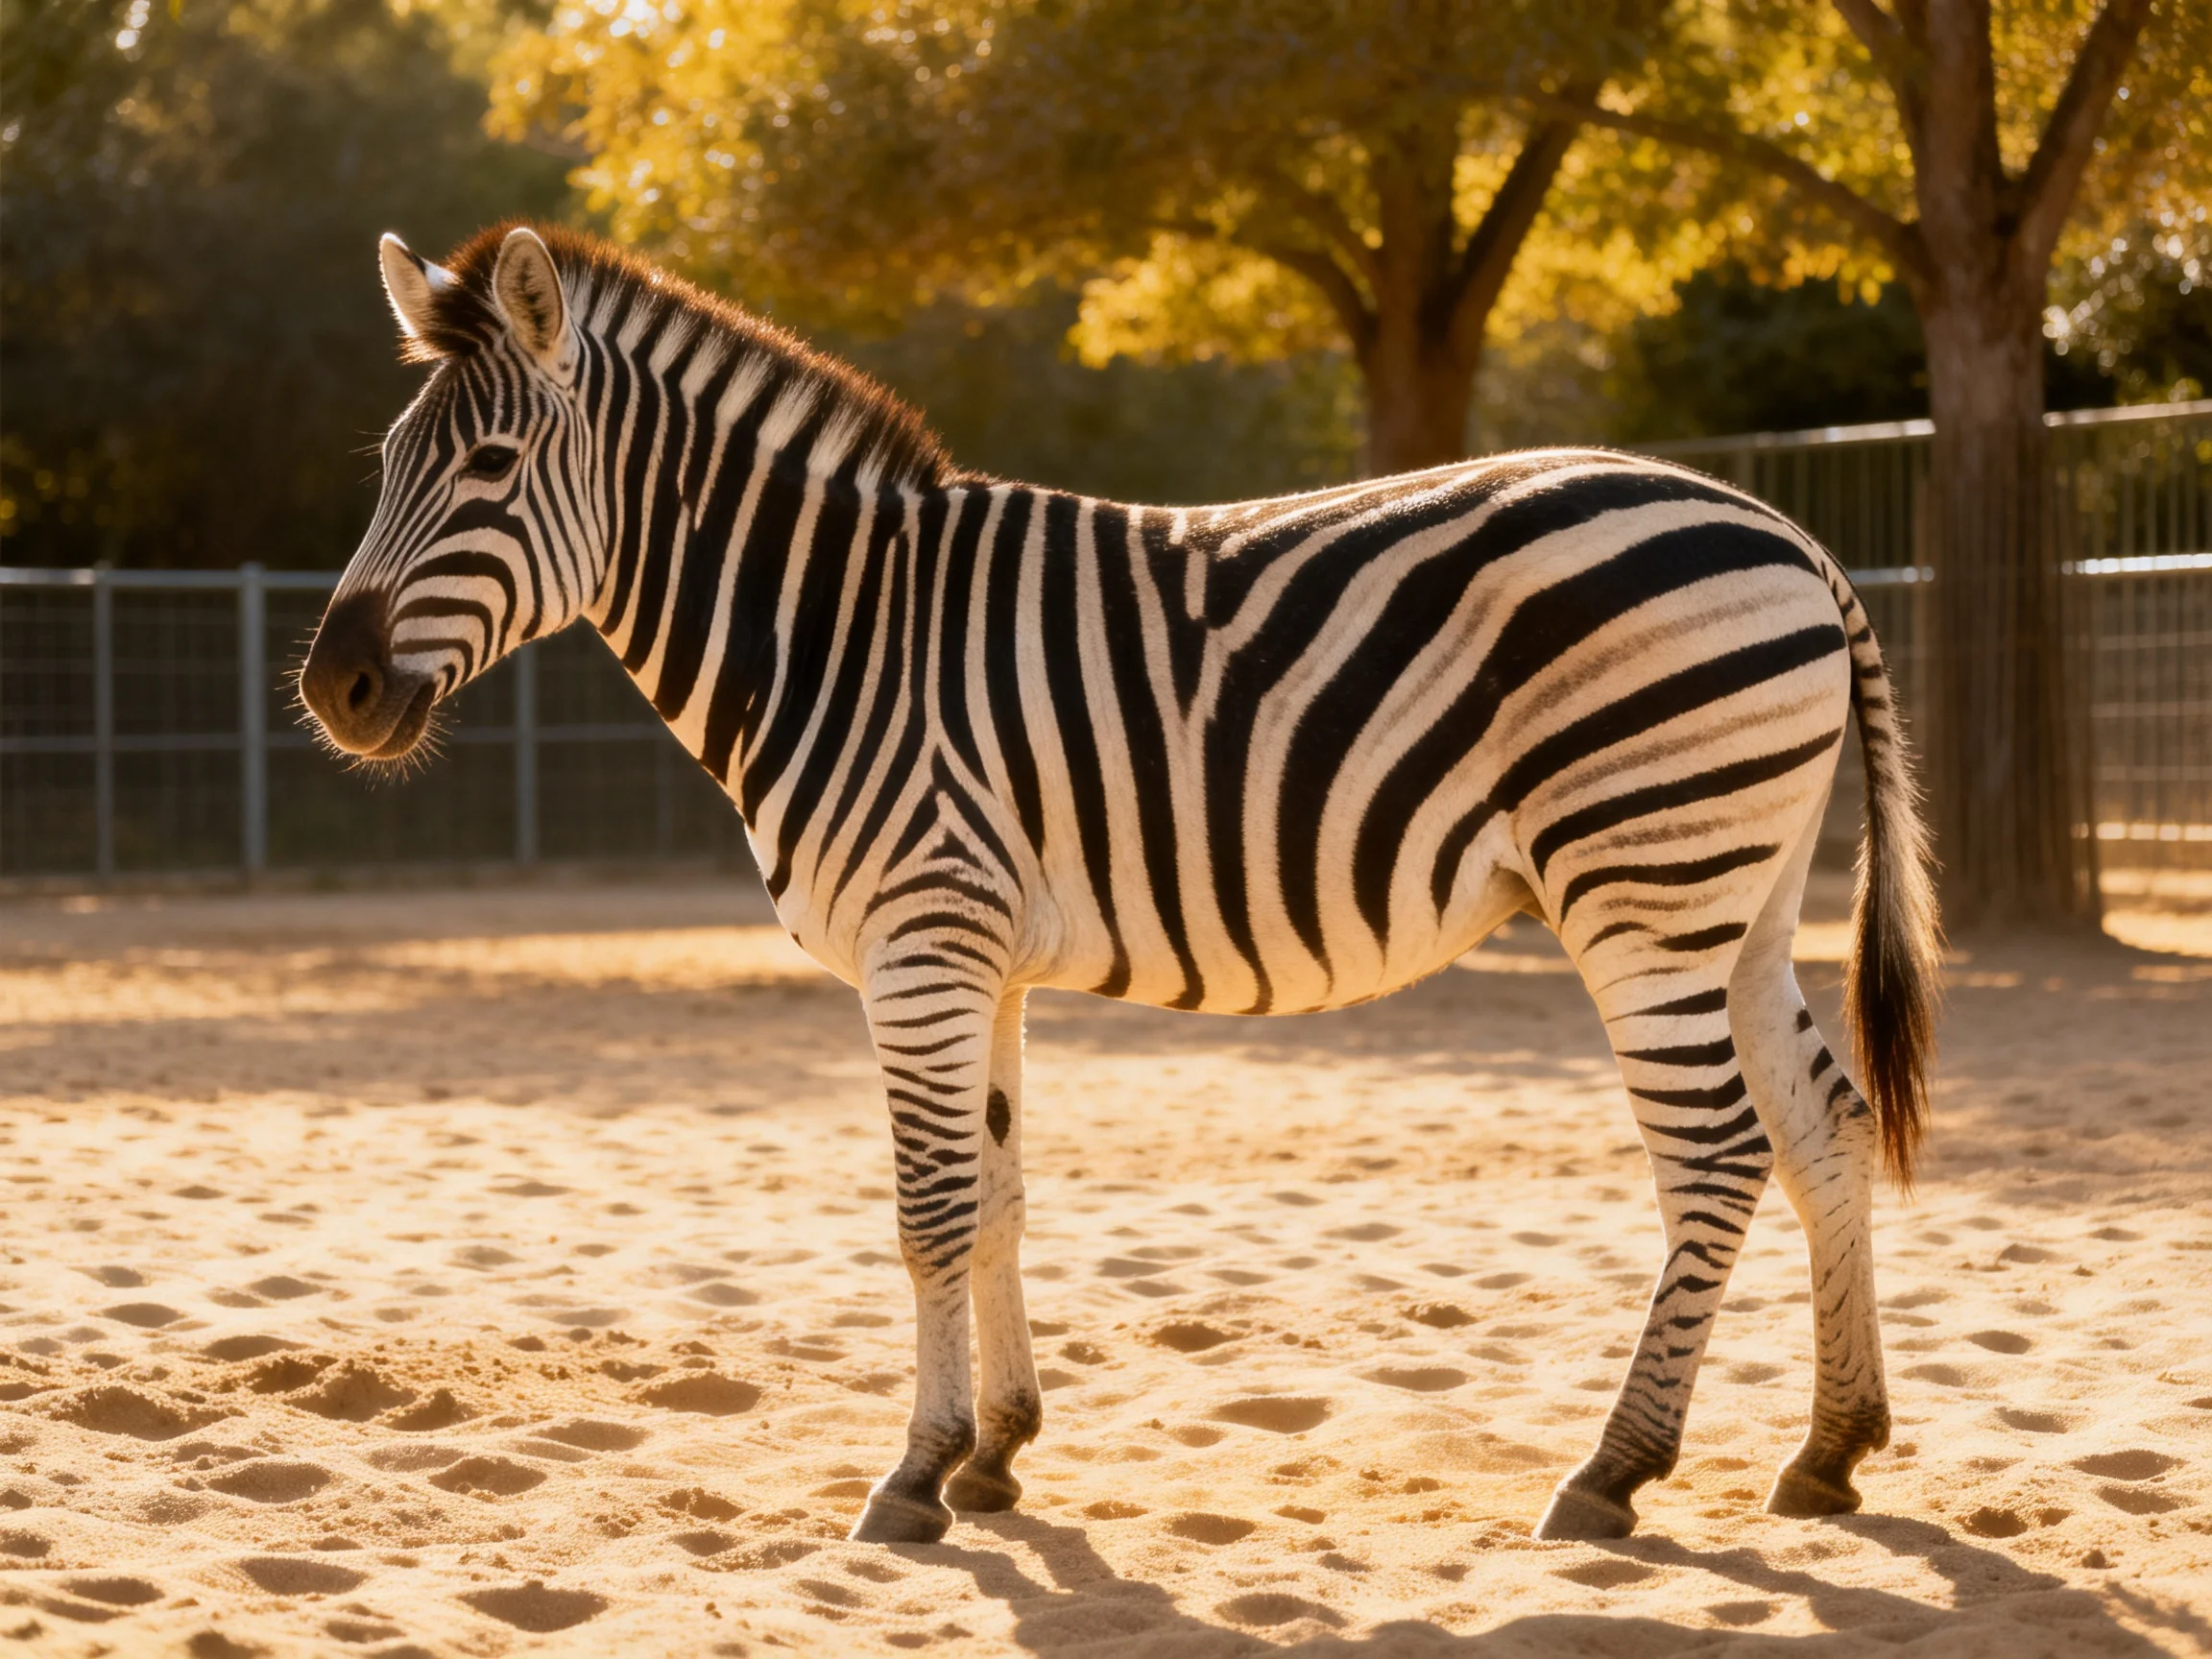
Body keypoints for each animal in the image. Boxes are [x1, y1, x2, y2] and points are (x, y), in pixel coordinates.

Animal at [300, 223, 1941, 1546]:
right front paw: (997, 1458)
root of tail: (1794, 536)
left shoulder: (922, 939)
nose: (335, 690)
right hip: (1739, 900)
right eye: (382, 468)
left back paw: (1615, 1472)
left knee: (1716, 1157)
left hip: (1640, 889)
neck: (840, 634)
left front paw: (914, 1479)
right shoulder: (978, 954)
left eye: (492, 470)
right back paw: (1831, 1451)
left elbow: (931, 1209)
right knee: (1825, 1124)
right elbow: (1002, 1194)